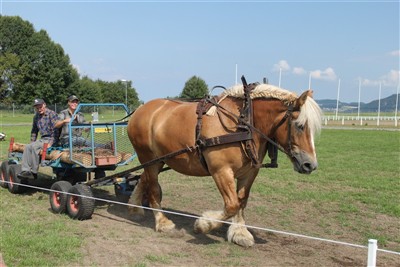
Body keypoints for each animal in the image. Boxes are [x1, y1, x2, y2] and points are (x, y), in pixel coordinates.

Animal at [126, 81, 324, 247]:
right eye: (299, 125)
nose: (310, 165)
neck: (243, 124)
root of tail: (140, 109)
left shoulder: (250, 172)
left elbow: (241, 201)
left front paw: (239, 233)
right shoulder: (221, 171)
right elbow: (231, 204)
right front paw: (204, 224)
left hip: (159, 159)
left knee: (144, 179)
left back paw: (134, 207)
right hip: (148, 158)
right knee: (153, 188)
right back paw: (161, 222)